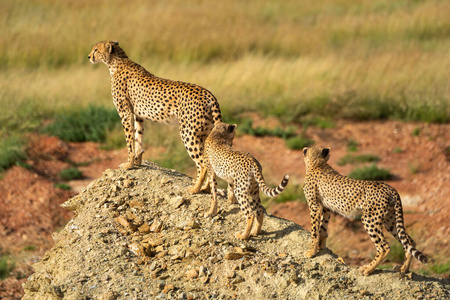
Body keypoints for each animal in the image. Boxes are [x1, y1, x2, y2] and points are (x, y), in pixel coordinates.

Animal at [88, 41, 221, 193]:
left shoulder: (125, 113)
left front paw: (129, 165)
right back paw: (206, 188)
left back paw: (195, 189)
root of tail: (208, 94)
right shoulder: (138, 115)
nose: (89, 56)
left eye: (96, 50)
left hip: (188, 132)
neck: (116, 62)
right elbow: (138, 138)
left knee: (202, 163)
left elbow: (129, 141)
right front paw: (137, 162)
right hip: (204, 133)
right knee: (208, 162)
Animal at [302, 146, 426, 276]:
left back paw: (368, 269)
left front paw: (312, 252)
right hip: (390, 220)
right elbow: (322, 227)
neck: (317, 163)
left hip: (370, 219)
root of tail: (390, 188)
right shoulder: (326, 208)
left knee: (384, 247)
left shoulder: (315, 206)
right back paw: (403, 268)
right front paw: (321, 246)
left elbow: (314, 230)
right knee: (409, 241)